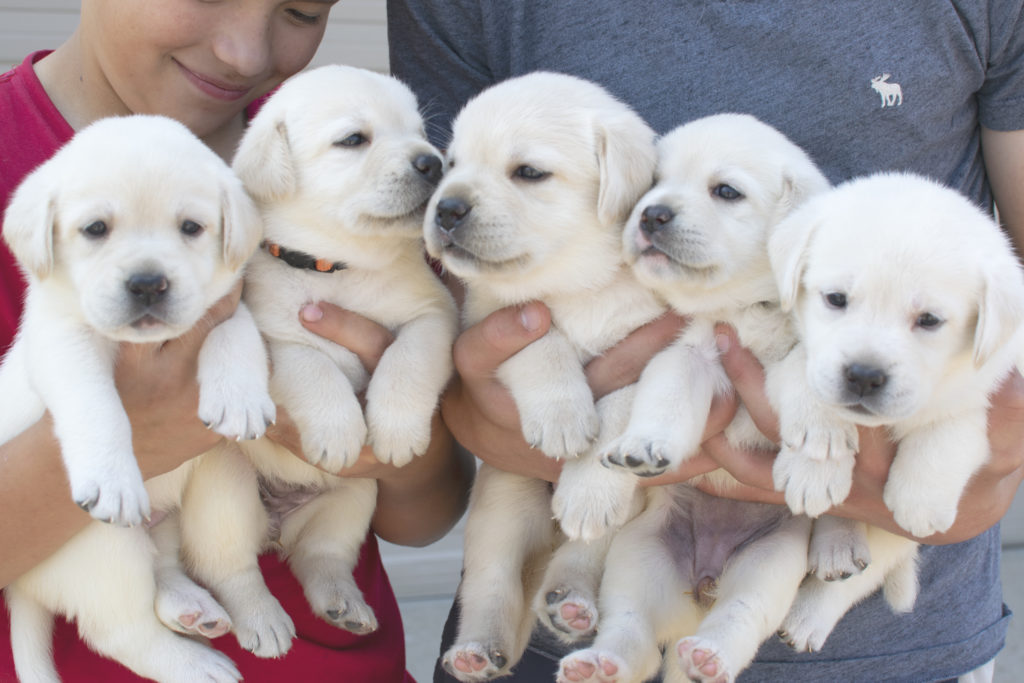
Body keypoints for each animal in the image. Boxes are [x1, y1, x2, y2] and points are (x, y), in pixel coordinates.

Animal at [0, 114, 272, 679]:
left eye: (191, 228)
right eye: (95, 229)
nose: (148, 283)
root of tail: (23, 588)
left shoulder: (226, 303)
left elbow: (234, 331)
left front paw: (238, 395)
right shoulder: (64, 339)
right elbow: (95, 403)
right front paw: (111, 475)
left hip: (219, 482)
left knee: (197, 563)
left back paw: (216, 609)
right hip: (100, 548)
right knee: (122, 632)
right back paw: (195, 663)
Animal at [171, 66, 456, 659]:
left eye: (420, 133)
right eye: (354, 139)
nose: (434, 162)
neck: (339, 266)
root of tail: (275, 524)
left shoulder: (435, 316)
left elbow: (409, 358)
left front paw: (396, 430)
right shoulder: (269, 337)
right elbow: (313, 369)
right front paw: (339, 429)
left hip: (355, 496)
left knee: (320, 558)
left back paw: (343, 603)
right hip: (226, 485)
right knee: (231, 571)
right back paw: (263, 621)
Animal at [419, 72, 659, 679]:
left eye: (528, 172)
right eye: (451, 163)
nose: (445, 207)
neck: (577, 285)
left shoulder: (658, 339)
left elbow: (622, 404)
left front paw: (590, 479)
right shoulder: (489, 318)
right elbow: (541, 340)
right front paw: (563, 415)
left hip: (622, 518)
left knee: (580, 556)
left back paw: (571, 600)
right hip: (503, 505)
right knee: (493, 587)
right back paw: (478, 650)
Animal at [770, 171, 1024, 651]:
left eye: (929, 320)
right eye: (836, 299)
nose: (864, 375)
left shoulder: (987, 380)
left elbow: (951, 428)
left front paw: (920, 499)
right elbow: (800, 373)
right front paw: (816, 457)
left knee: (858, 579)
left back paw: (810, 611)